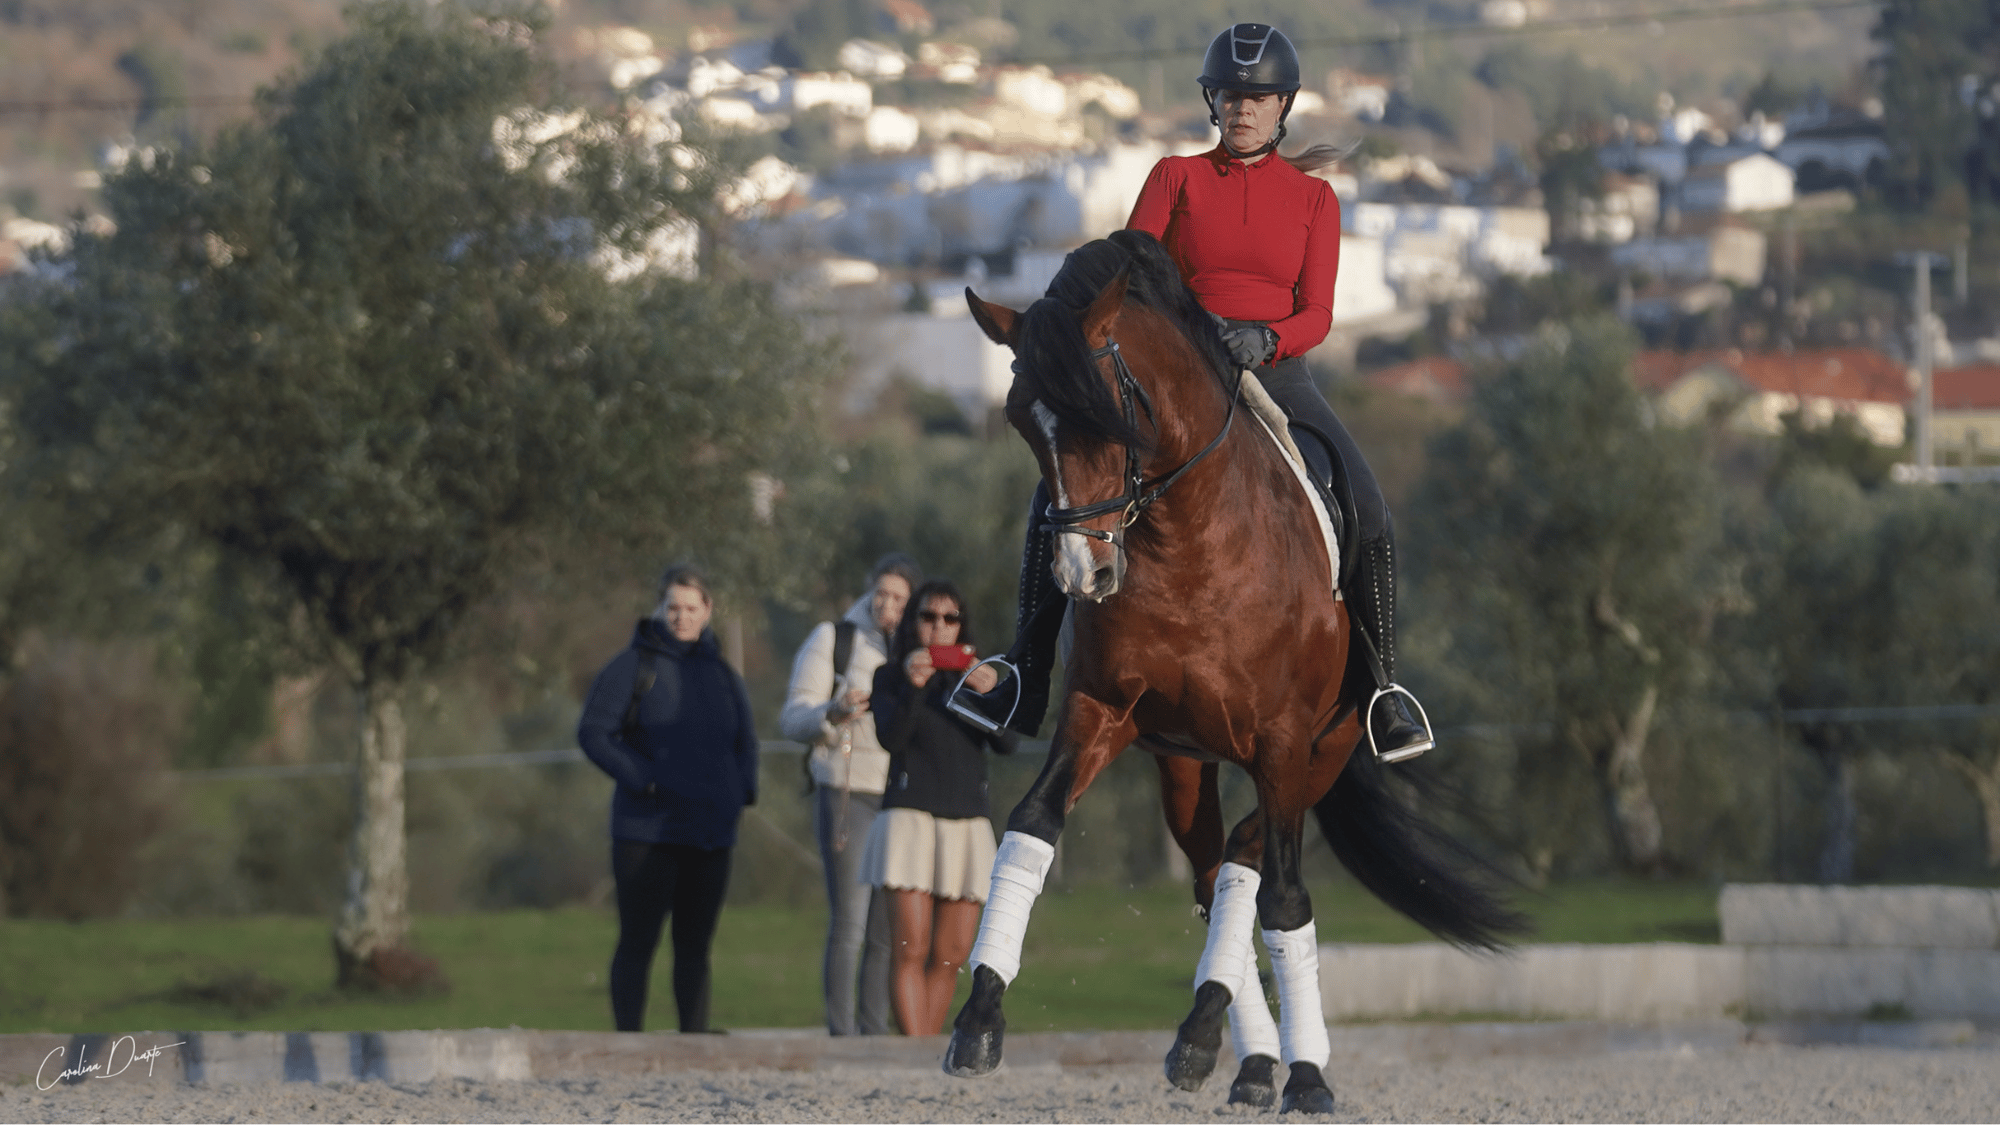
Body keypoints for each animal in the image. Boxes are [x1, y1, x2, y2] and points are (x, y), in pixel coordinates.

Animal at [943, 229, 1523, 1113]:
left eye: (1110, 409)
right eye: (1020, 419)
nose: (1084, 574)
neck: (1188, 539)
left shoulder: (1283, 739)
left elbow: (1284, 900)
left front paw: (1306, 1075)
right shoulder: (1100, 709)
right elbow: (1033, 825)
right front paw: (979, 1018)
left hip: (1320, 750)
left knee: (1254, 862)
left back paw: (1254, 1048)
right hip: (1186, 764)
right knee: (1220, 868)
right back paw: (1238, 1056)